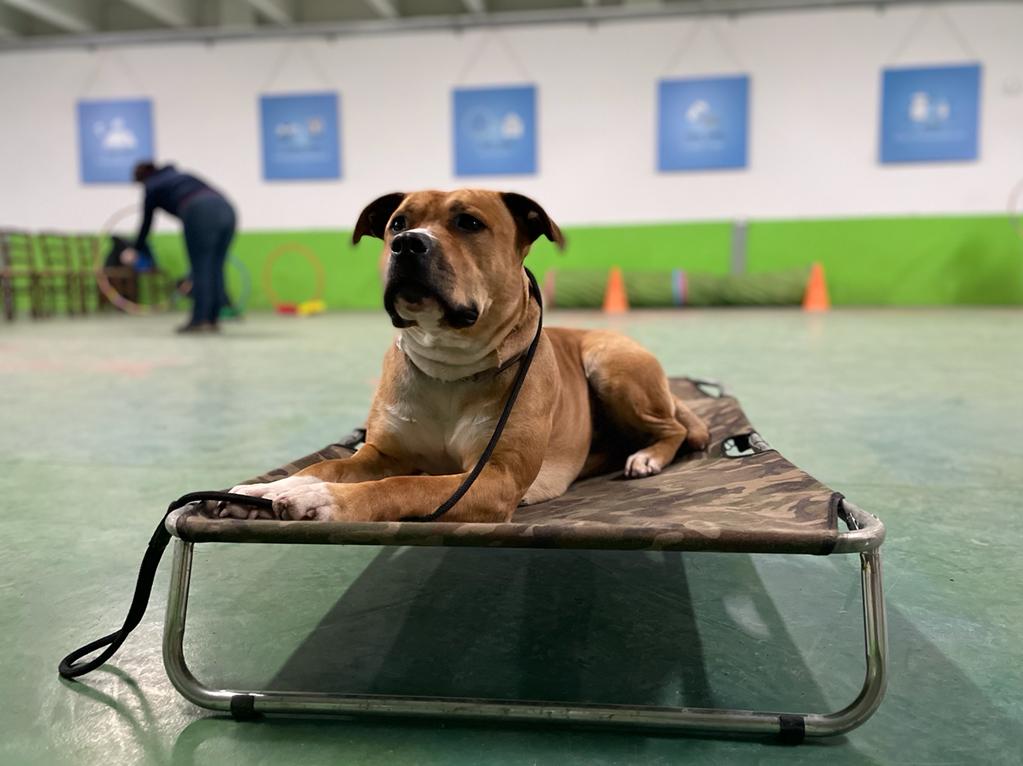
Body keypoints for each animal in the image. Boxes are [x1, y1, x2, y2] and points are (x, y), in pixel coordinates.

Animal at [228, 189, 709, 522]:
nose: (408, 243)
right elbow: (331, 463)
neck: (448, 365)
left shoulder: (491, 478)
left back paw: (647, 457)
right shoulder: (378, 455)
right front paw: (269, 489)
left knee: (675, 430)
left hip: (610, 365)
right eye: (398, 223)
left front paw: (322, 499)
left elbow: (401, 486)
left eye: (469, 222)